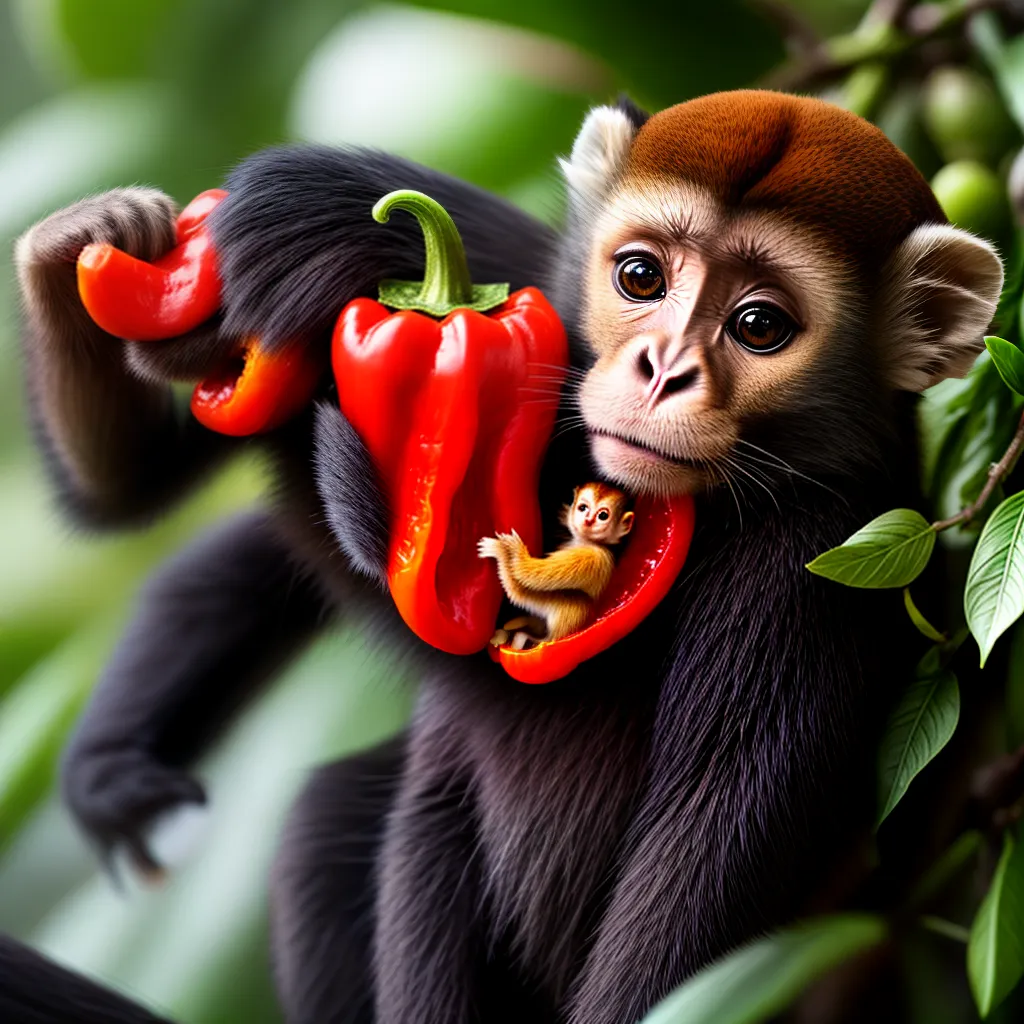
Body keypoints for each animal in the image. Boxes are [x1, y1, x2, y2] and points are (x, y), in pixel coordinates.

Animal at [479, 481, 634, 648]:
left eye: (603, 515)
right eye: (583, 507)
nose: (588, 520)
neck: (587, 542)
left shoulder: (590, 557)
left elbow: (528, 575)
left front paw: (509, 549)